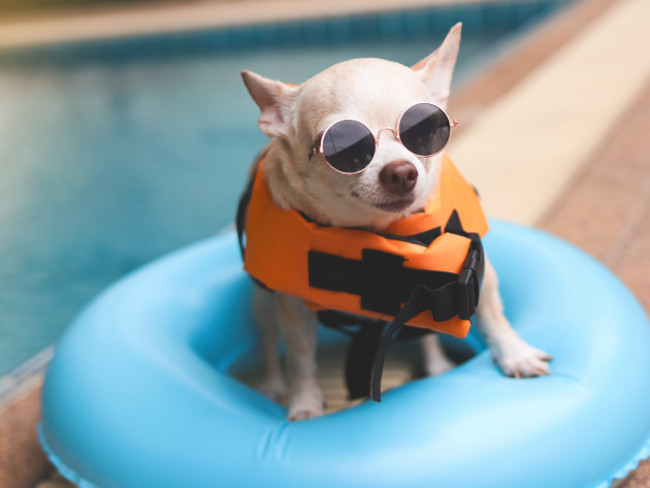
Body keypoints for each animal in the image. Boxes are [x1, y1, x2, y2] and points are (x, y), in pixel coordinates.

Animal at [238, 22, 548, 420]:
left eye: (427, 128)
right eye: (343, 147)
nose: (401, 172)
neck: (380, 231)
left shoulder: (473, 264)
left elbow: (493, 314)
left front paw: (515, 354)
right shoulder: (292, 307)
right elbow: (301, 359)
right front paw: (305, 404)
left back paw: (438, 366)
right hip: (262, 302)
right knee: (267, 345)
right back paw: (275, 386)